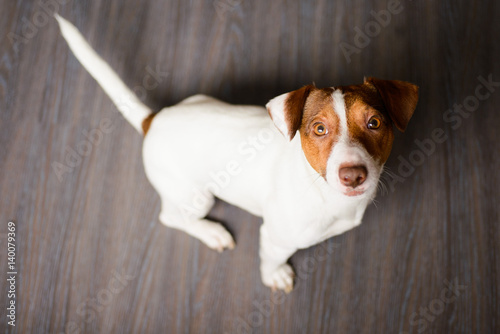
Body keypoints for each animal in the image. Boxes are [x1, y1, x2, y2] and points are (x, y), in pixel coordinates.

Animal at [56, 15, 420, 292]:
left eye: (374, 123)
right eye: (318, 129)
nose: (353, 175)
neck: (322, 191)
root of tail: (153, 120)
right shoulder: (274, 237)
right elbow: (272, 258)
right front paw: (275, 275)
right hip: (194, 196)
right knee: (171, 217)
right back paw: (211, 232)